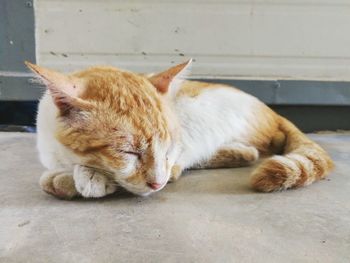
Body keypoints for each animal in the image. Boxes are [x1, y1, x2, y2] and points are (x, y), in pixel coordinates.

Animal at [25, 60, 334, 200]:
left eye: (168, 148)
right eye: (128, 152)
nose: (157, 183)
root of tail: (271, 109)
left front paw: (86, 177)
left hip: (193, 110)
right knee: (249, 152)